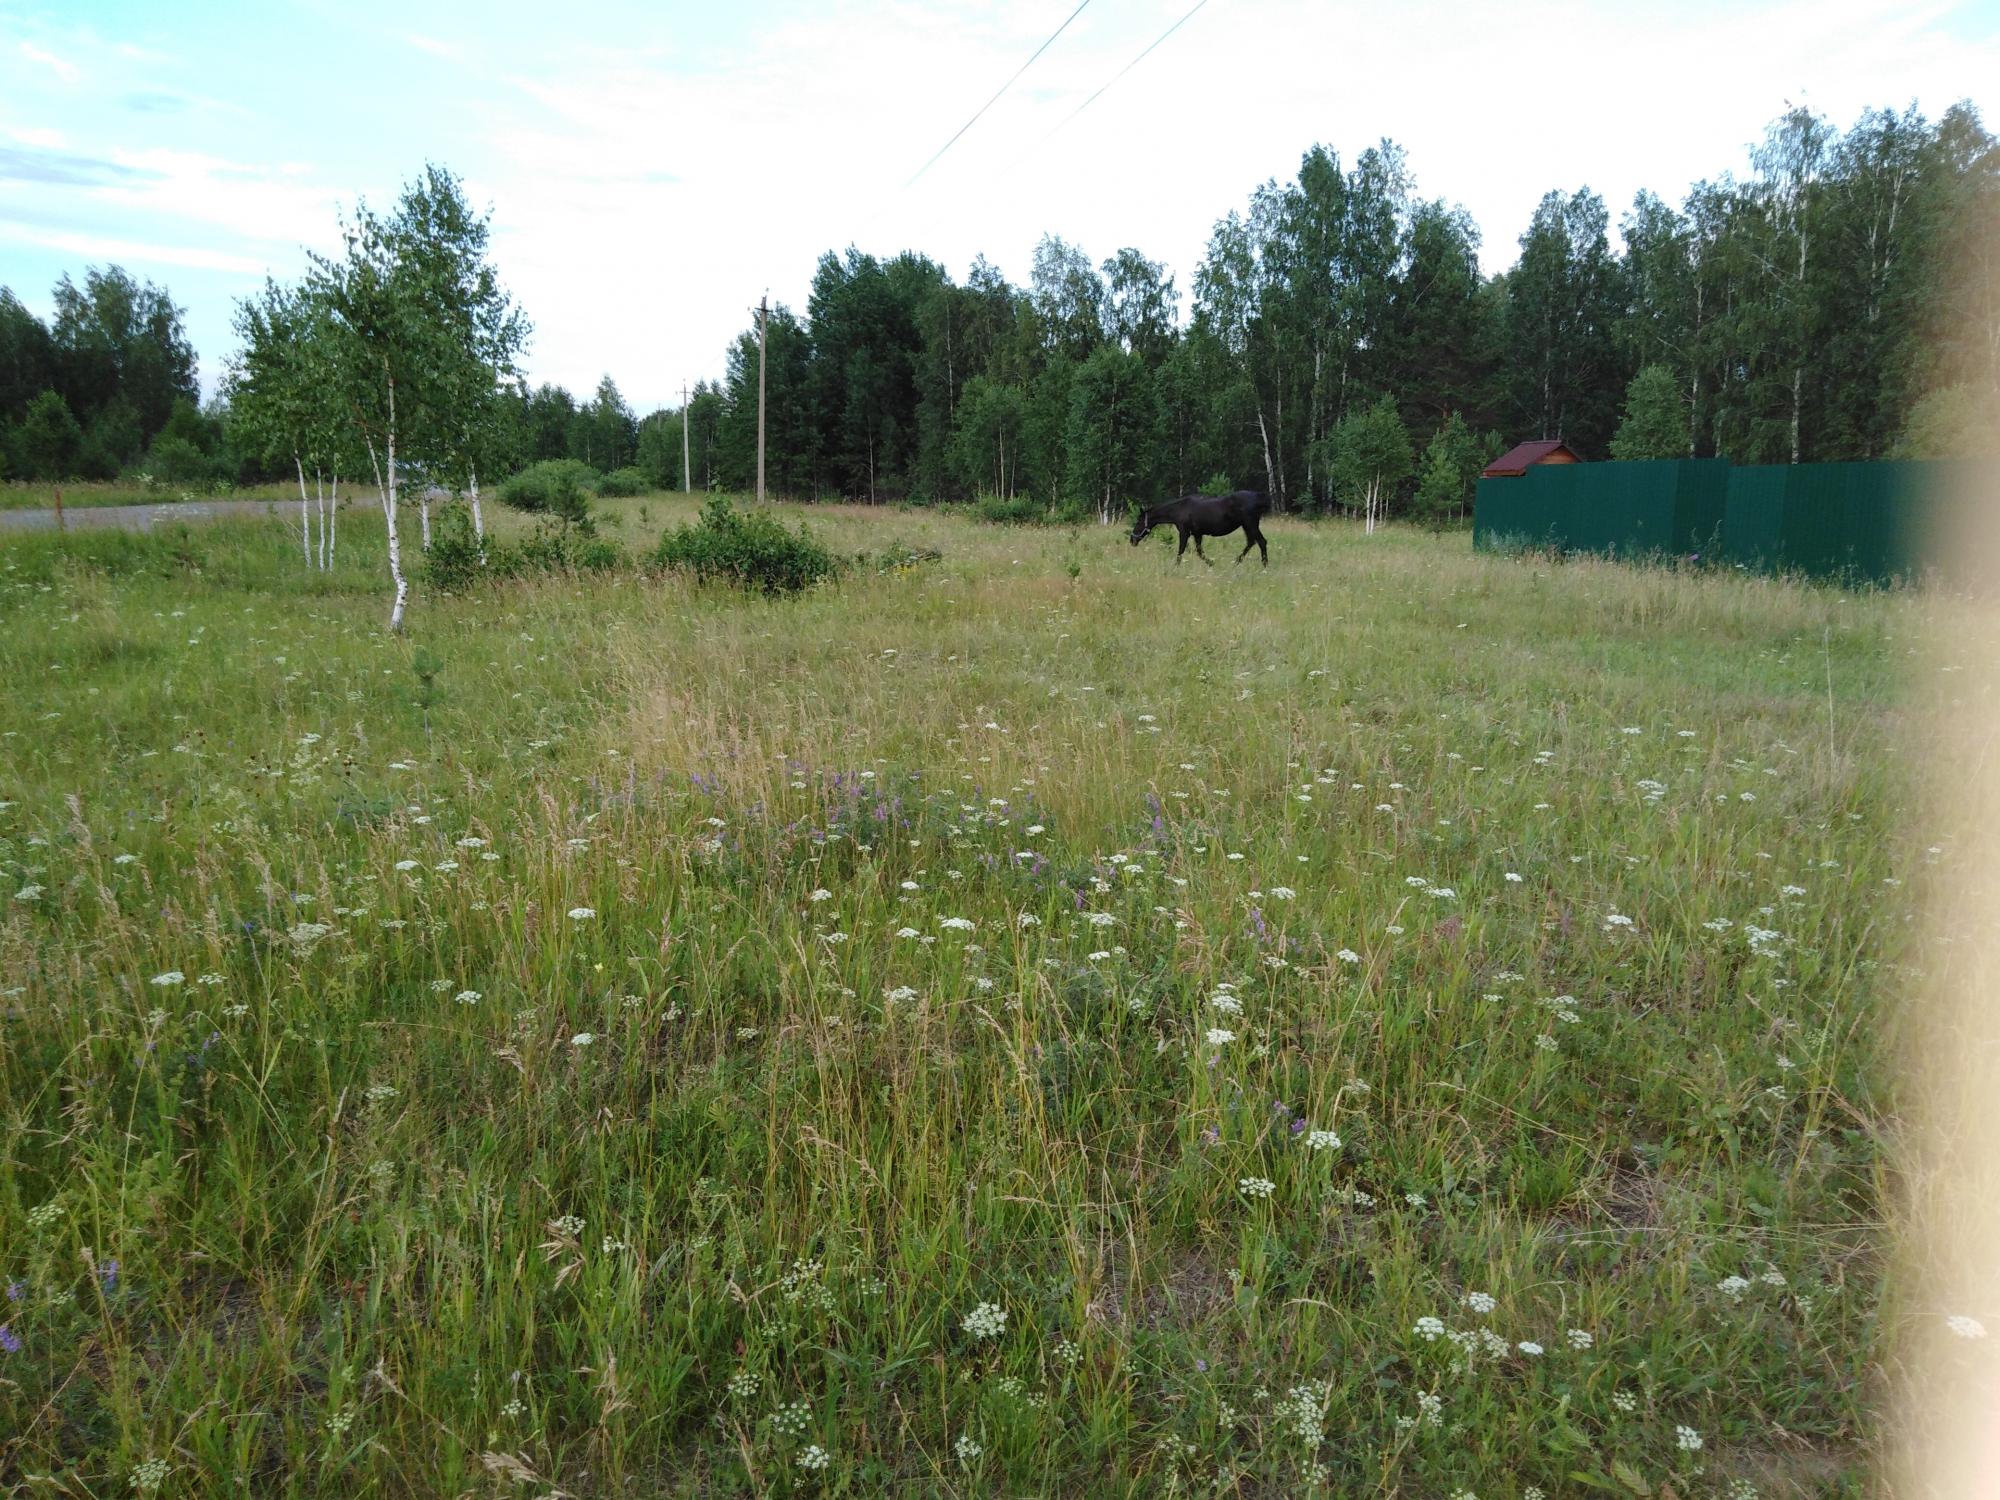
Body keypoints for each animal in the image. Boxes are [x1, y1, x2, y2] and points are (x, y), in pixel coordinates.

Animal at [1128, 490, 1264, 568]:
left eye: (1139, 521)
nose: (1132, 540)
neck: (1179, 509)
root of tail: (1258, 497)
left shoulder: (1184, 533)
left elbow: (1181, 551)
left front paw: (1175, 567)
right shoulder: (1197, 534)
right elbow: (1199, 552)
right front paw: (1212, 563)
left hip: (1250, 525)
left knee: (1261, 542)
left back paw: (1264, 565)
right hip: (1247, 526)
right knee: (1252, 542)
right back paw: (1237, 562)